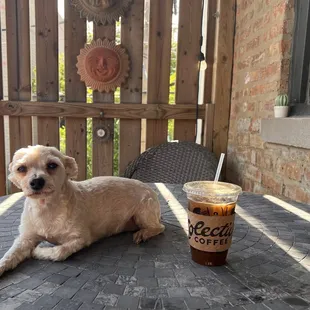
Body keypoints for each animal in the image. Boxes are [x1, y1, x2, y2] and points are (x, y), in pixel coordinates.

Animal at [0, 145, 165, 276]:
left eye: (52, 165)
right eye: (21, 168)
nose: (36, 182)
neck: (46, 208)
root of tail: (150, 188)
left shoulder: (80, 239)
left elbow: (59, 252)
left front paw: (38, 251)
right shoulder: (25, 238)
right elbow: (10, 255)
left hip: (144, 211)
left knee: (158, 227)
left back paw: (144, 233)